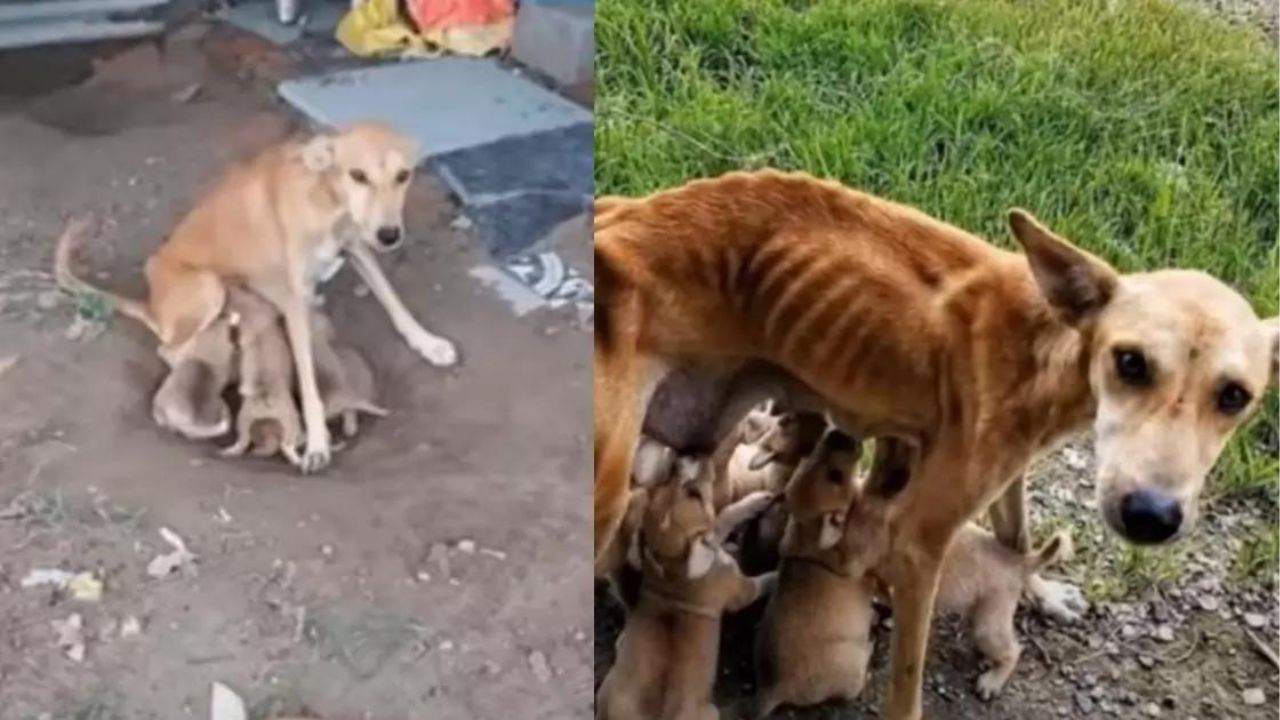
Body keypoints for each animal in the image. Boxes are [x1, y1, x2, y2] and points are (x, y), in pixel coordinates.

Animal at [224, 283, 303, 461]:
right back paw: (297, 458)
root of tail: (264, 393)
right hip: (291, 421)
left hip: (244, 418)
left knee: (243, 441)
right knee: (286, 445)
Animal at [593, 456, 773, 712]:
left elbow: (723, 517)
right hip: (711, 711)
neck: (671, 565)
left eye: (663, 485)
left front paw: (754, 503)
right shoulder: (742, 590)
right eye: (694, 494)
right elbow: (763, 580)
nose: (681, 460)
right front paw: (777, 574)